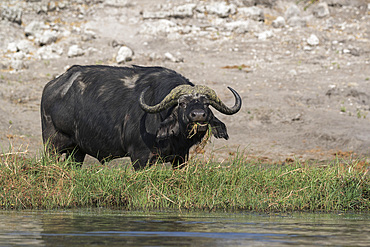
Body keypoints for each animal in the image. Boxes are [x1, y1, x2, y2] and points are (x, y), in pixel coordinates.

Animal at [40, 64, 241, 171]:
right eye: (182, 103)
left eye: (206, 104)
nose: (198, 115)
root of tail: (52, 86)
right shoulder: (139, 157)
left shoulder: (181, 157)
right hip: (51, 145)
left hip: (77, 151)